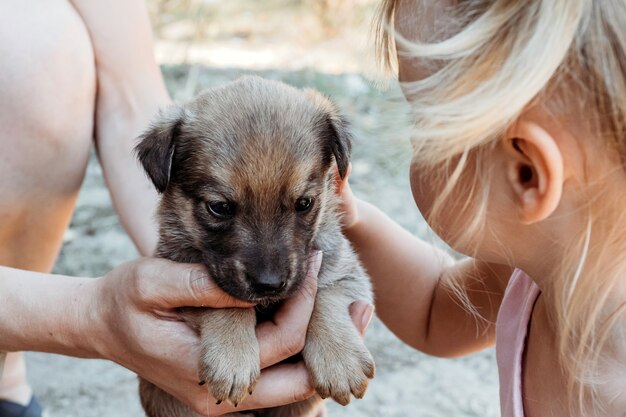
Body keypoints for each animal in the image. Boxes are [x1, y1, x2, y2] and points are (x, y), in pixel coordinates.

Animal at [135, 75, 372, 416]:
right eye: (219, 207)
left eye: (305, 203)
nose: (269, 284)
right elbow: (226, 302)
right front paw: (232, 358)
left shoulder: (345, 268)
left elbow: (324, 294)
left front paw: (340, 360)